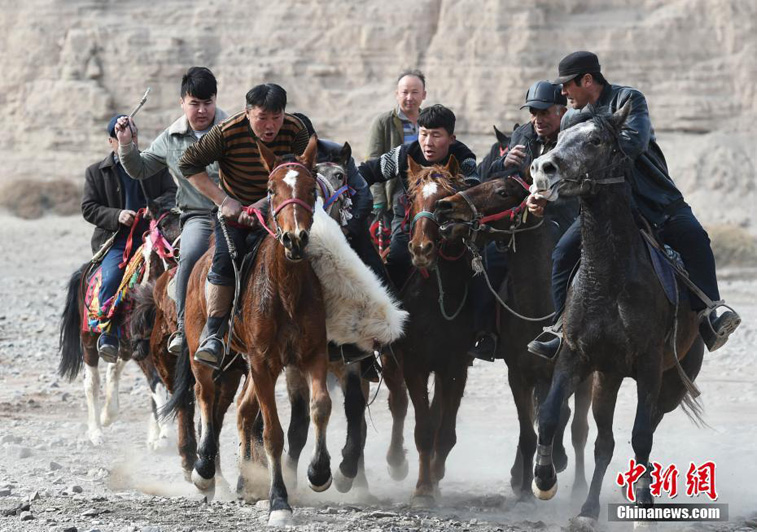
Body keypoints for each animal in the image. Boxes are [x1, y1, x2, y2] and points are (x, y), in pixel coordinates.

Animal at [432, 169, 592, 498]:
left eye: (503, 193)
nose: (444, 207)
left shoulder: (573, 374)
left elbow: (567, 424)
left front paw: (560, 474)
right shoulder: (518, 374)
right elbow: (527, 433)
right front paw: (526, 491)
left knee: (574, 424)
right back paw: (522, 475)